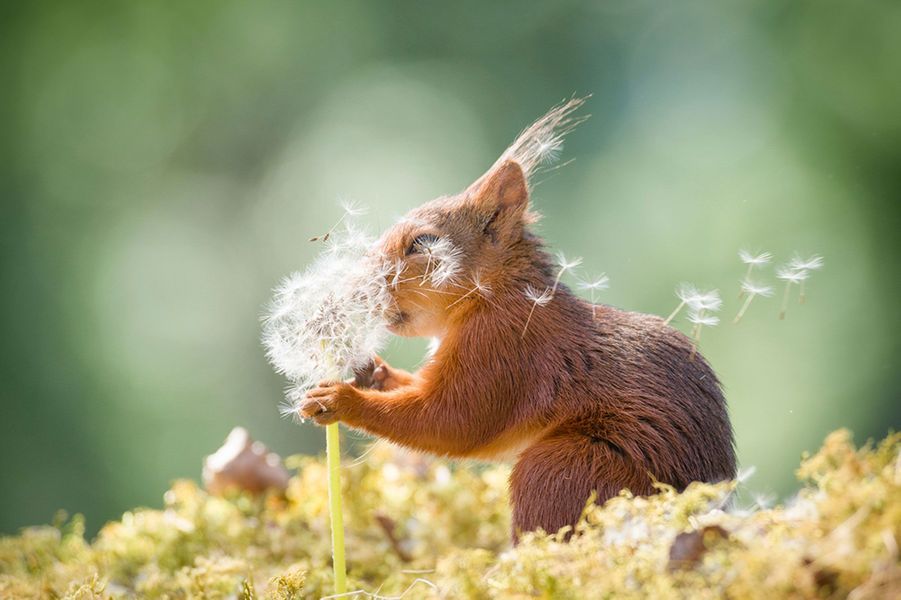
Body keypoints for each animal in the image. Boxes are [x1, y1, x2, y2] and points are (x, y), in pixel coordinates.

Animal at [300, 98, 736, 540]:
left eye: (423, 243)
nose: (357, 287)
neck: (494, 295)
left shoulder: (504, 347)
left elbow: (452, 420)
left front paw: (341, 400)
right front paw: (373, 373)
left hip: (565, 468)